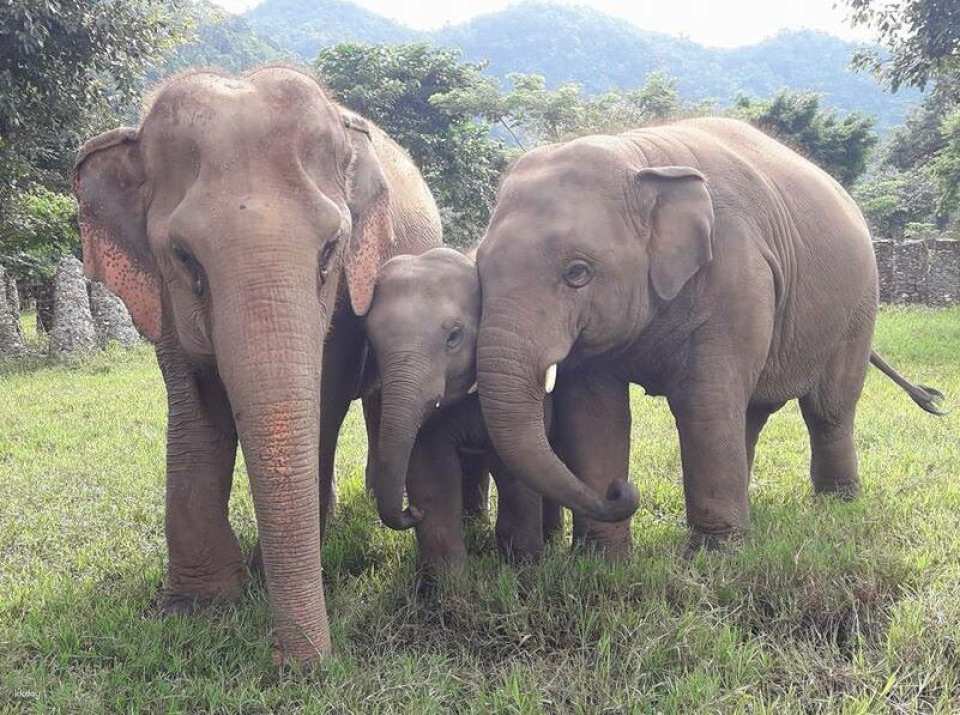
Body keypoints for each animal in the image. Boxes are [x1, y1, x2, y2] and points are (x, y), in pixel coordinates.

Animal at [73, 66, 441, 663]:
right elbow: (194, 409)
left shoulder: (345, 298)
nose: (305, 667)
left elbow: (322, 399)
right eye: (185, 257)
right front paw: (195, 606)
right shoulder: (163, 296)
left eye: (330, 249)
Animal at [362, 247, 562, 572]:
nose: (411, 510)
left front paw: (524, 569)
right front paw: (444, 581)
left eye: (453, 336)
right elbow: (432, 471)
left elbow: (514, 472)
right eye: (370, 342)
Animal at [473, 117, 945, 555]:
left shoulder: (737, 275)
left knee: (827, 408)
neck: (639, 157)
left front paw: (715, 555)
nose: (621, 490)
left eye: (577, 272)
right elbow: (593, 410)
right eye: (480, 269)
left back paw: (836, 502)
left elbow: (704, 399)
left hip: (859, 305)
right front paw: (600, 560)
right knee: (751, 412)